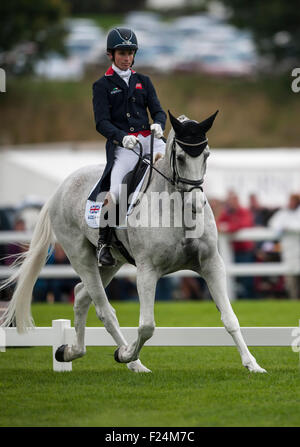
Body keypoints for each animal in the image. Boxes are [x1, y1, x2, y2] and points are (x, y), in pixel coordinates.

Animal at [1, 112, 266, 374]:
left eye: (206, 155)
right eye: (180, 158)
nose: (196, 204)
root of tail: (60, 188)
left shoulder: (211, 264)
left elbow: (230, 319)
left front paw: (252, 364)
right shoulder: (147, 270)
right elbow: (147, 325)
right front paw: (126, 353)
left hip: (111, 264)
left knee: (81, 295)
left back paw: (73, 352)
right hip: (80, 256)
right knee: (104, 310)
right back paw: (127, 356)